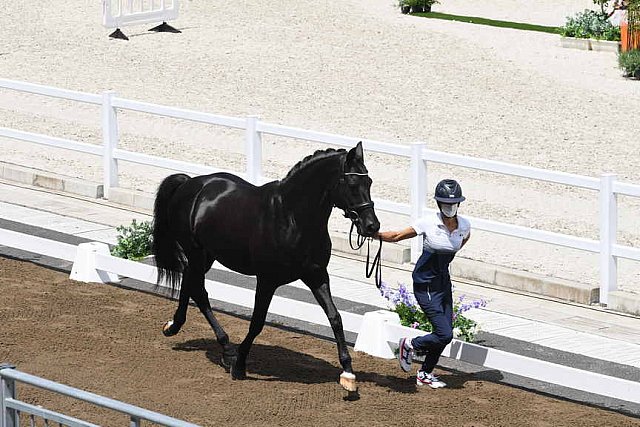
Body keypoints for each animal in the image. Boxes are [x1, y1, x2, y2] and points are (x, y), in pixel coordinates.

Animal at [150, 142, 380, 392]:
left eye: (369, 182)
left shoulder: (317, 275)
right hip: (195, 252)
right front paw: (240, 365)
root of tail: (190, 183)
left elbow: (335, 317)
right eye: (352, 184)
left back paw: (174, 327)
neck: (292, 217)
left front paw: (348, 373)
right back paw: (226, 350)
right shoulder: (267, 280)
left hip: (206, 255)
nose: (372, 226)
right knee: (199, 292)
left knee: (189, 282)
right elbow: (257, 322)